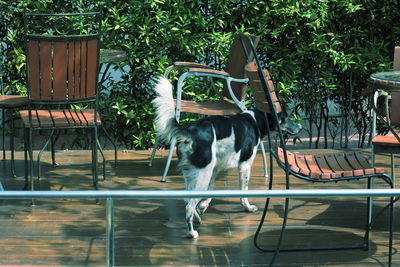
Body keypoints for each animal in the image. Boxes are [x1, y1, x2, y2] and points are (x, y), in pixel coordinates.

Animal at [152, 77, 300, 239]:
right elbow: (243, 192)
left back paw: (197, 217)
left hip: (195, 173)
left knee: (187, 199)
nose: (300, 128)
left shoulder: (215, 168)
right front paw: (248, 208)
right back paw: (192, 232)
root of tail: (191, 132)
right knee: (189, 205)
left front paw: (203, 206)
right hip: (202, 174)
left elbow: (210, 193)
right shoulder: (244, 166)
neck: (256, 120)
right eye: (285, 118)